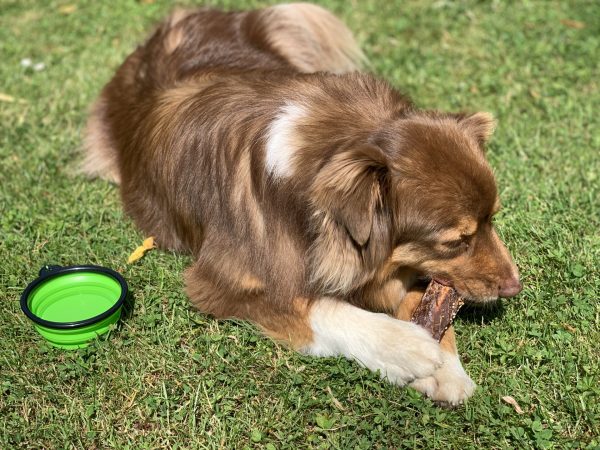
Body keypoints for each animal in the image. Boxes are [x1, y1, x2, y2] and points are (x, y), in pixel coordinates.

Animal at [83, 2, 520, 404]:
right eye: (456, 241)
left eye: (493, 220)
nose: (515, 287)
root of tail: (186, 15)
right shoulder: (222, 282)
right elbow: (321, 307)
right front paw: (407, 347)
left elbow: (419, 297)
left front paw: (447, 368)